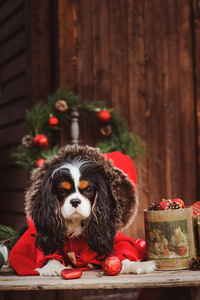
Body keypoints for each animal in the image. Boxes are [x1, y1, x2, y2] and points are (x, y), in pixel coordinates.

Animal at [9, 145, 156, 276]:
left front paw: (136, 265)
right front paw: (52, 266)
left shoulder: (112, 238)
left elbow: (123, 250)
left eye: (88, 189)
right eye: (62, 191)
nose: (75, 201)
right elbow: (49, 253)